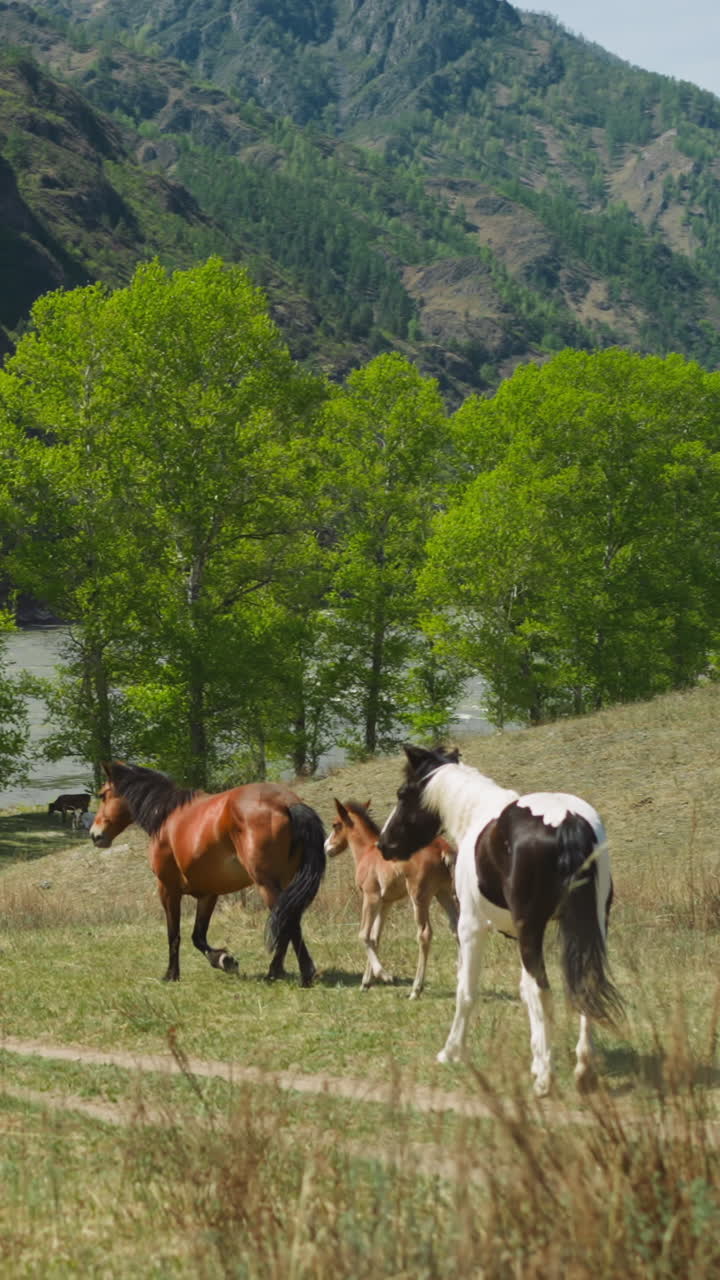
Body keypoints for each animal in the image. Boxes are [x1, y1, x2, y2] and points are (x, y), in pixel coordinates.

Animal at [90, 761, 326, 987]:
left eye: (103, 795)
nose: (95, 835)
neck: (167, 817)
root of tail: (286, 803)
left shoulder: (168, 890)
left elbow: (174, 935)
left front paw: (171, 975)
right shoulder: (208, 894)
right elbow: (198, 936)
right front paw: (223, 960)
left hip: (266, 884)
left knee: (288, 922)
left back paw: (297, 973)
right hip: (285, 884)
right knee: (288, 921)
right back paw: (279, 972)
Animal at [325, 798, 458, 998]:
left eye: (335, 824)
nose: (327, 848)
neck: (367, 851)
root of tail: (443, 848)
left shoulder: (370, 896)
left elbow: (363, 934)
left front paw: (384, 975)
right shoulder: (386, 902)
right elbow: (375, 938)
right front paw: (366, 982)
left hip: (419, 897)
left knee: (424, 934)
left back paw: (415, 990)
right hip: (444, 893)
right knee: (458, 928)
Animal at [377, 744, 622, 1096]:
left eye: (402, 793)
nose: (383, 844)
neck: (477, 814)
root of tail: (566, 822)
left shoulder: (470, 928)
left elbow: (467, 990)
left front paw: (452, 1051)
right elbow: (524, 991)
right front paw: (537, 1056)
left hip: (532, 930)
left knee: (543, 991)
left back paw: (545, 1080)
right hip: (591, 926)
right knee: (583, 985)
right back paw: (582, 1069)